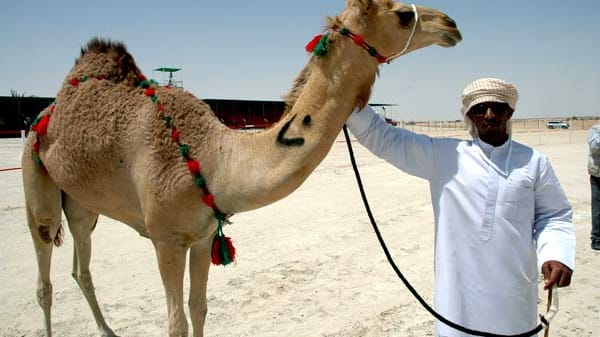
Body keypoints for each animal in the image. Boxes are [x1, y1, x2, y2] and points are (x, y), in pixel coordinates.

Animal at [19, 1, 460, 334]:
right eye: (402, 14)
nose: (451, 24)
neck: (215, 158)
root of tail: (47, 110)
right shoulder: (166, 238)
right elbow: (176, 322)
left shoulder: (200, 238)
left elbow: (198, 309)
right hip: (34, 171)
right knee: (44, 273)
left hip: (81, 202)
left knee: (81, 266)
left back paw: (107, 329)